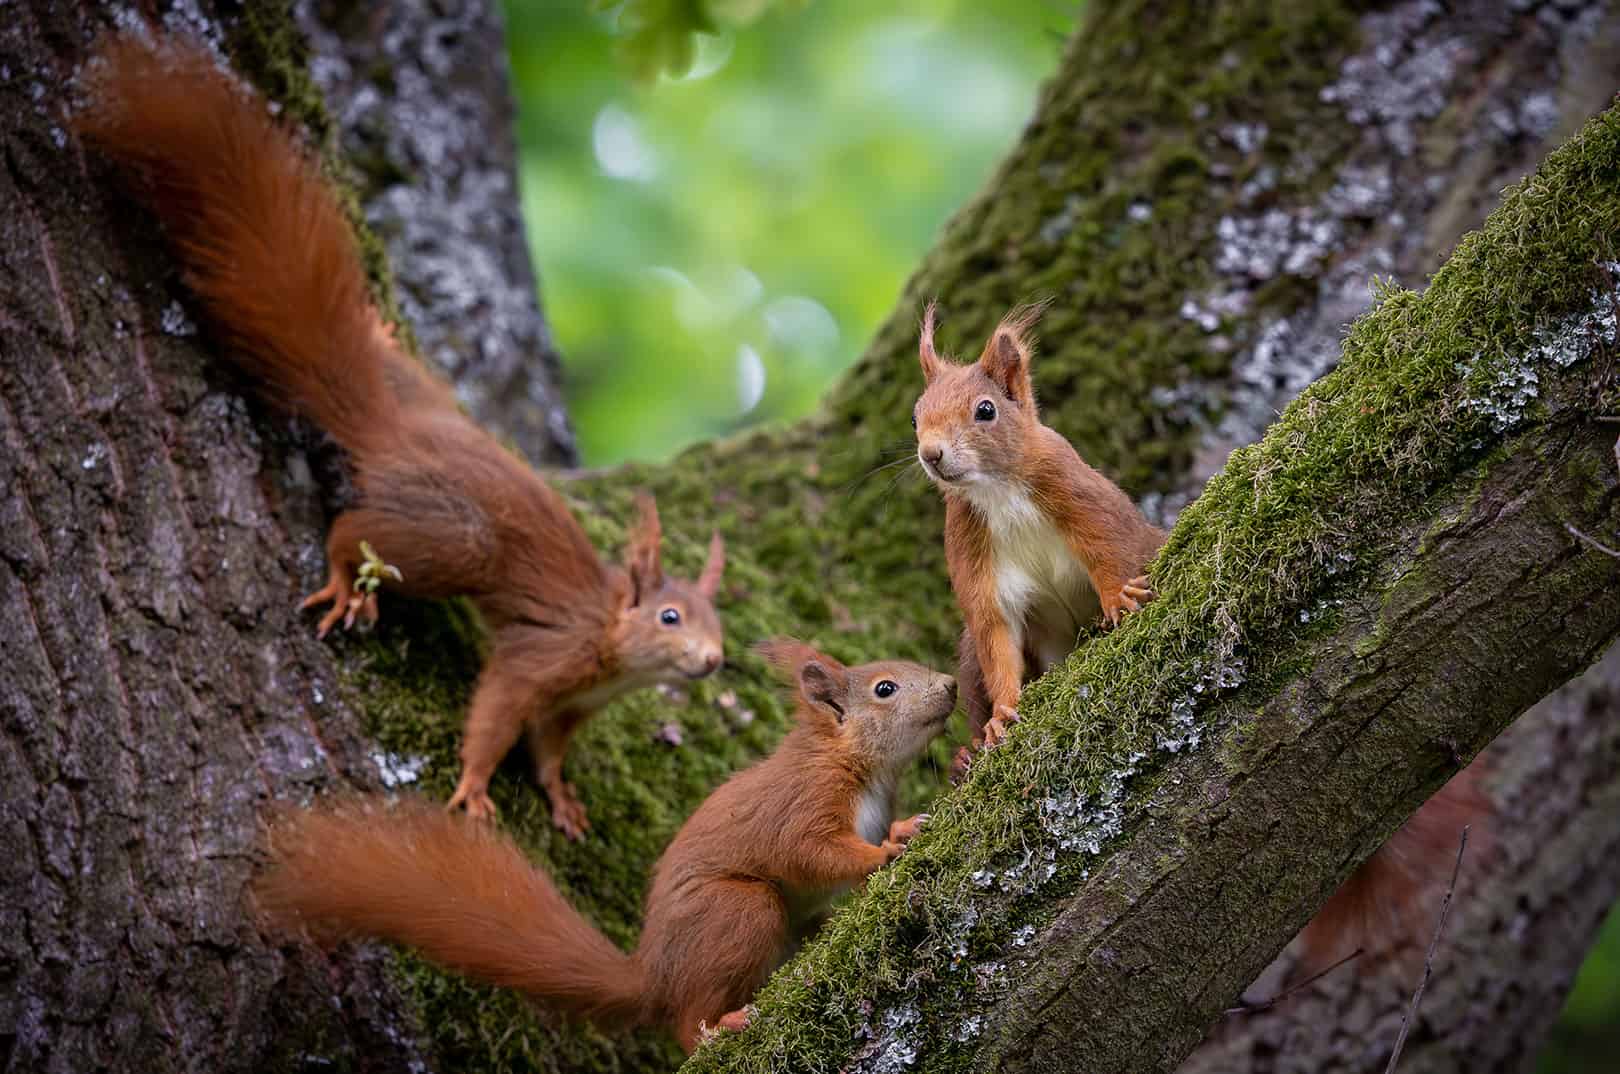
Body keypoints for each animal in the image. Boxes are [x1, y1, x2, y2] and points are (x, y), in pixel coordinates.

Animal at [77, 35, 729, 842]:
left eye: (718, 621)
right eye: (670, 617)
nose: (714, 660)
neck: (613, 646)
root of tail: (389, 432)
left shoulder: (573, 705)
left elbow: (548, 750)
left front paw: (562, 800)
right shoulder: (542, 653)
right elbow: (497, 712)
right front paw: (476, 787)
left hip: (423, 403)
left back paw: (381, 333)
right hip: (453, 536)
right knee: (353, 531)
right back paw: (339, 579)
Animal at [257, 638, 952, 1049]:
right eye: (885, 688)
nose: (949, 685)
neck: (859, 766)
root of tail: (653, 975)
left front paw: (901, 829)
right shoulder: (801, 805)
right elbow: (812, 852)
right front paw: (885, 851)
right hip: (735, 912)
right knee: (686, 1023)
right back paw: (717, 1026)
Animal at [913, 306, 1166, 751]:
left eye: (986, 410)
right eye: (915, 416)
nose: (931, 453)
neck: (997, 491)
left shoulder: (1078, 494)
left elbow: (1111, 547)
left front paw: (1119, 598)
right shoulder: (971, 552)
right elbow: (995, 634)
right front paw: (1002, 714)